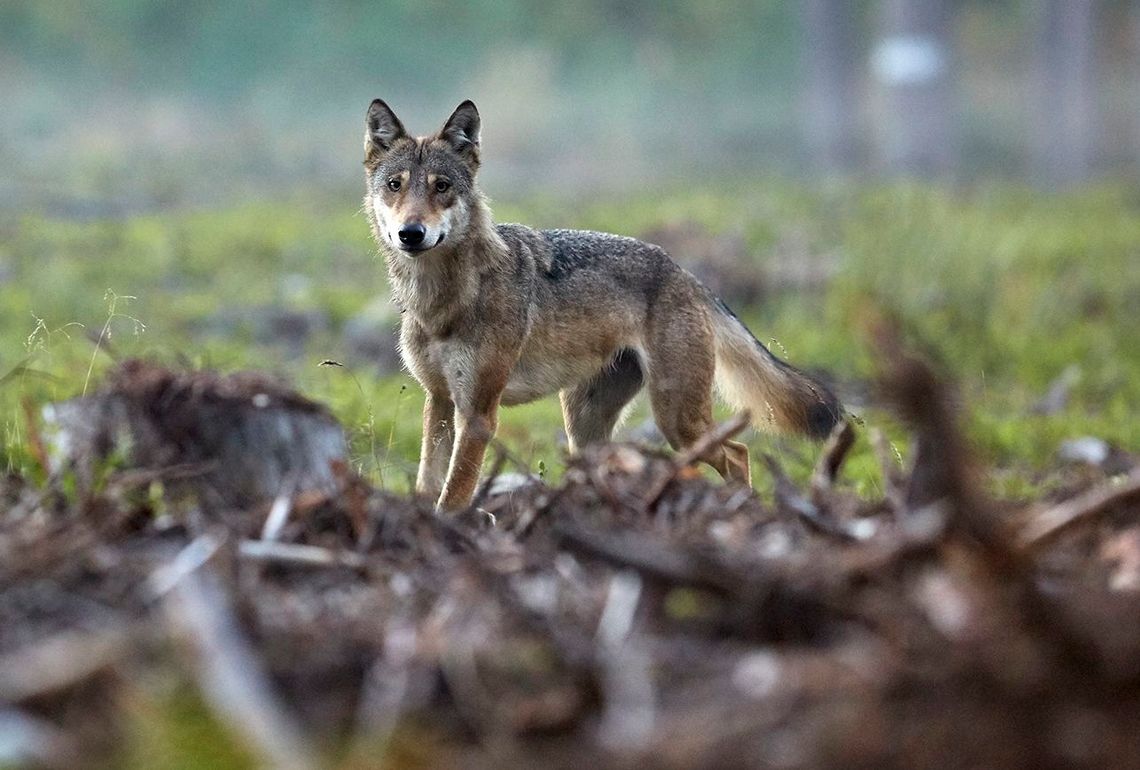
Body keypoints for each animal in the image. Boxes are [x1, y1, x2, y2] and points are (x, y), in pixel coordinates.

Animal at [364, 100, 848, 511]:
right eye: (395, 186)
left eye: (442, 187)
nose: (411, 233)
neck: (440, 301)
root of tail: (686, 274)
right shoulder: (440, 399)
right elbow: (428, 484)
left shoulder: (479, 412)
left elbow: (454, 493)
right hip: (586, 428)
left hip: (677, 420)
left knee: (739, 452)